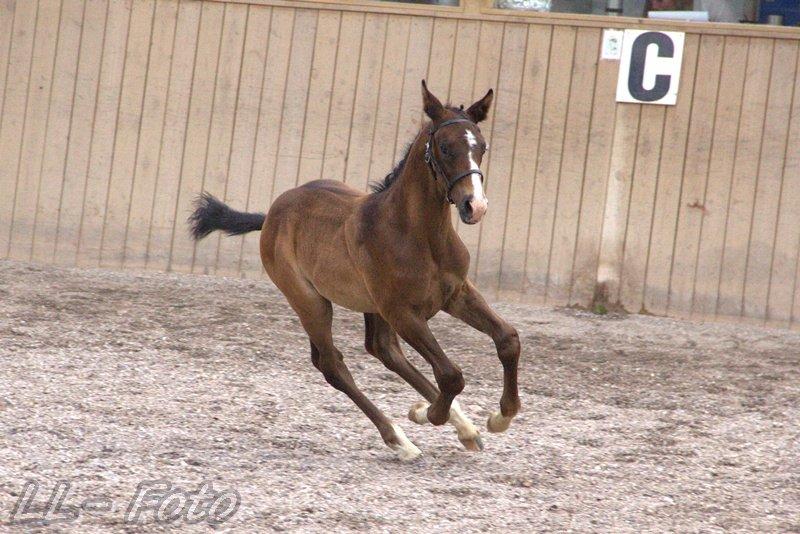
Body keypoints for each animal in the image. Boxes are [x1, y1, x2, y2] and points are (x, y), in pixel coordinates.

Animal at [191, 82, 520, 460]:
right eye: (445, 147)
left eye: (481, 147)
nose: (474, 206)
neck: (419, 235)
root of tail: (273, 213)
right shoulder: (403, 312)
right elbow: (451, 375)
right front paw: (426, 413)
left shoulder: (456, 293)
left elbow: (507, 339)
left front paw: (500, 417)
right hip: (310, 302)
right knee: (333, 364)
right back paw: (400, 439)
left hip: (372, 306)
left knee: (384, 350)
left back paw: (462, 428)